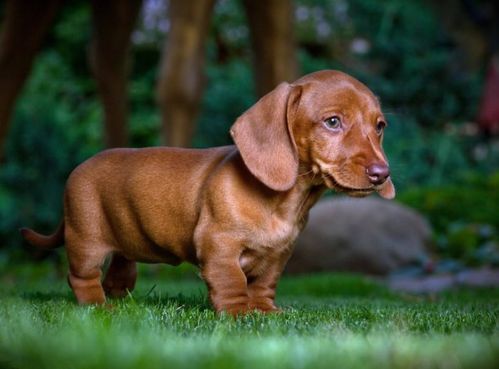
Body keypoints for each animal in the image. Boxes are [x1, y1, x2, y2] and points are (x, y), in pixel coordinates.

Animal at [21, 69, 396, 314]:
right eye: (333, 122)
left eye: (379, 126)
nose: (382, 174)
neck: (284, 202)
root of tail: (79, 168)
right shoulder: (218, 246)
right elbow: (232, 282)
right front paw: (239, 314)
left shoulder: (279, 255)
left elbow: (264, 284)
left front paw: (265, 311)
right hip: (86, 241)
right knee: (80, 278)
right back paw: (98, 306)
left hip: (125, 240)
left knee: (121, 269)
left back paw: (121, 298)